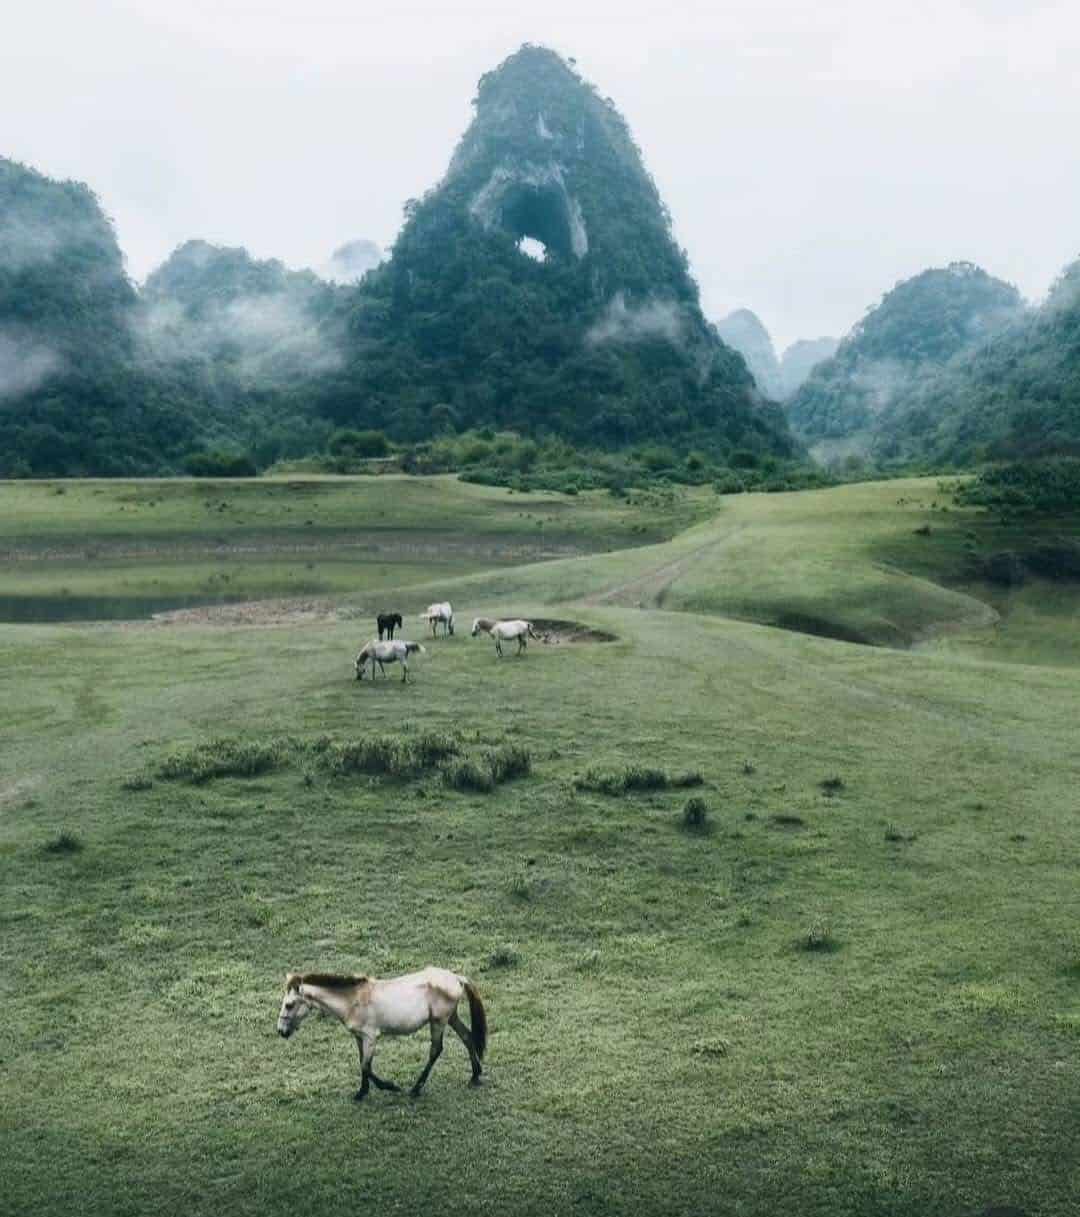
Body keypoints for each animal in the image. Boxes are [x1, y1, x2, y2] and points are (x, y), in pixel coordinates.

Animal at [277, 968, 487, 1100]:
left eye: (289, 1005)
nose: (281, 1031)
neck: (353, 1000)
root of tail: (457, 978)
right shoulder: (359, 1037)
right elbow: (362, 1063)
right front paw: (362, 1092)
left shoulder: (371, 1037)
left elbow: (366, 1066)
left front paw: (390, 1086)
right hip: (451, 1018)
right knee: (467, 1037)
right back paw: (475, 1076)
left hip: (439, 1021)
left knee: (436, 1050)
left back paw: (416, 1089)